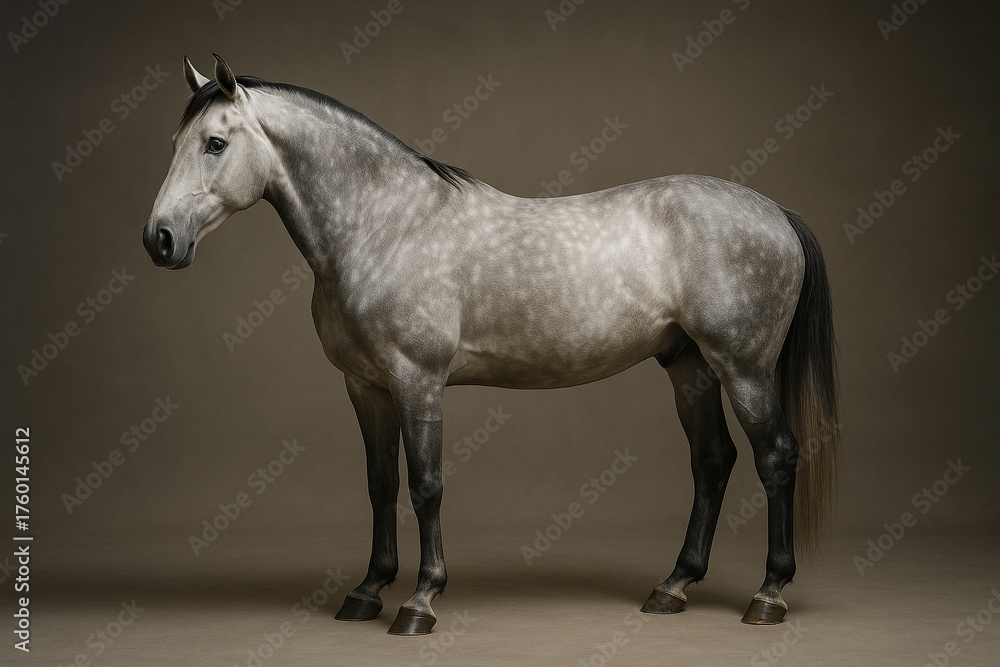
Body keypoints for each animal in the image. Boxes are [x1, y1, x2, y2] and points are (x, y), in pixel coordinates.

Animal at [143, 55, 839, 635]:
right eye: (175, 142)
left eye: (214, 143)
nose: (160, 239)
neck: (385, 225)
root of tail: (775, 213)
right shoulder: (365, 387)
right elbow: (380, 484)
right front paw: (367, 591)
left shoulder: (417, 379)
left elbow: (426, 485)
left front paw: (420, 600)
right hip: (689, 365)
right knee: (712, 462)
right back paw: (674, 586)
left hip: (744, 368)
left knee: (776, 458)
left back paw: (768, 595)